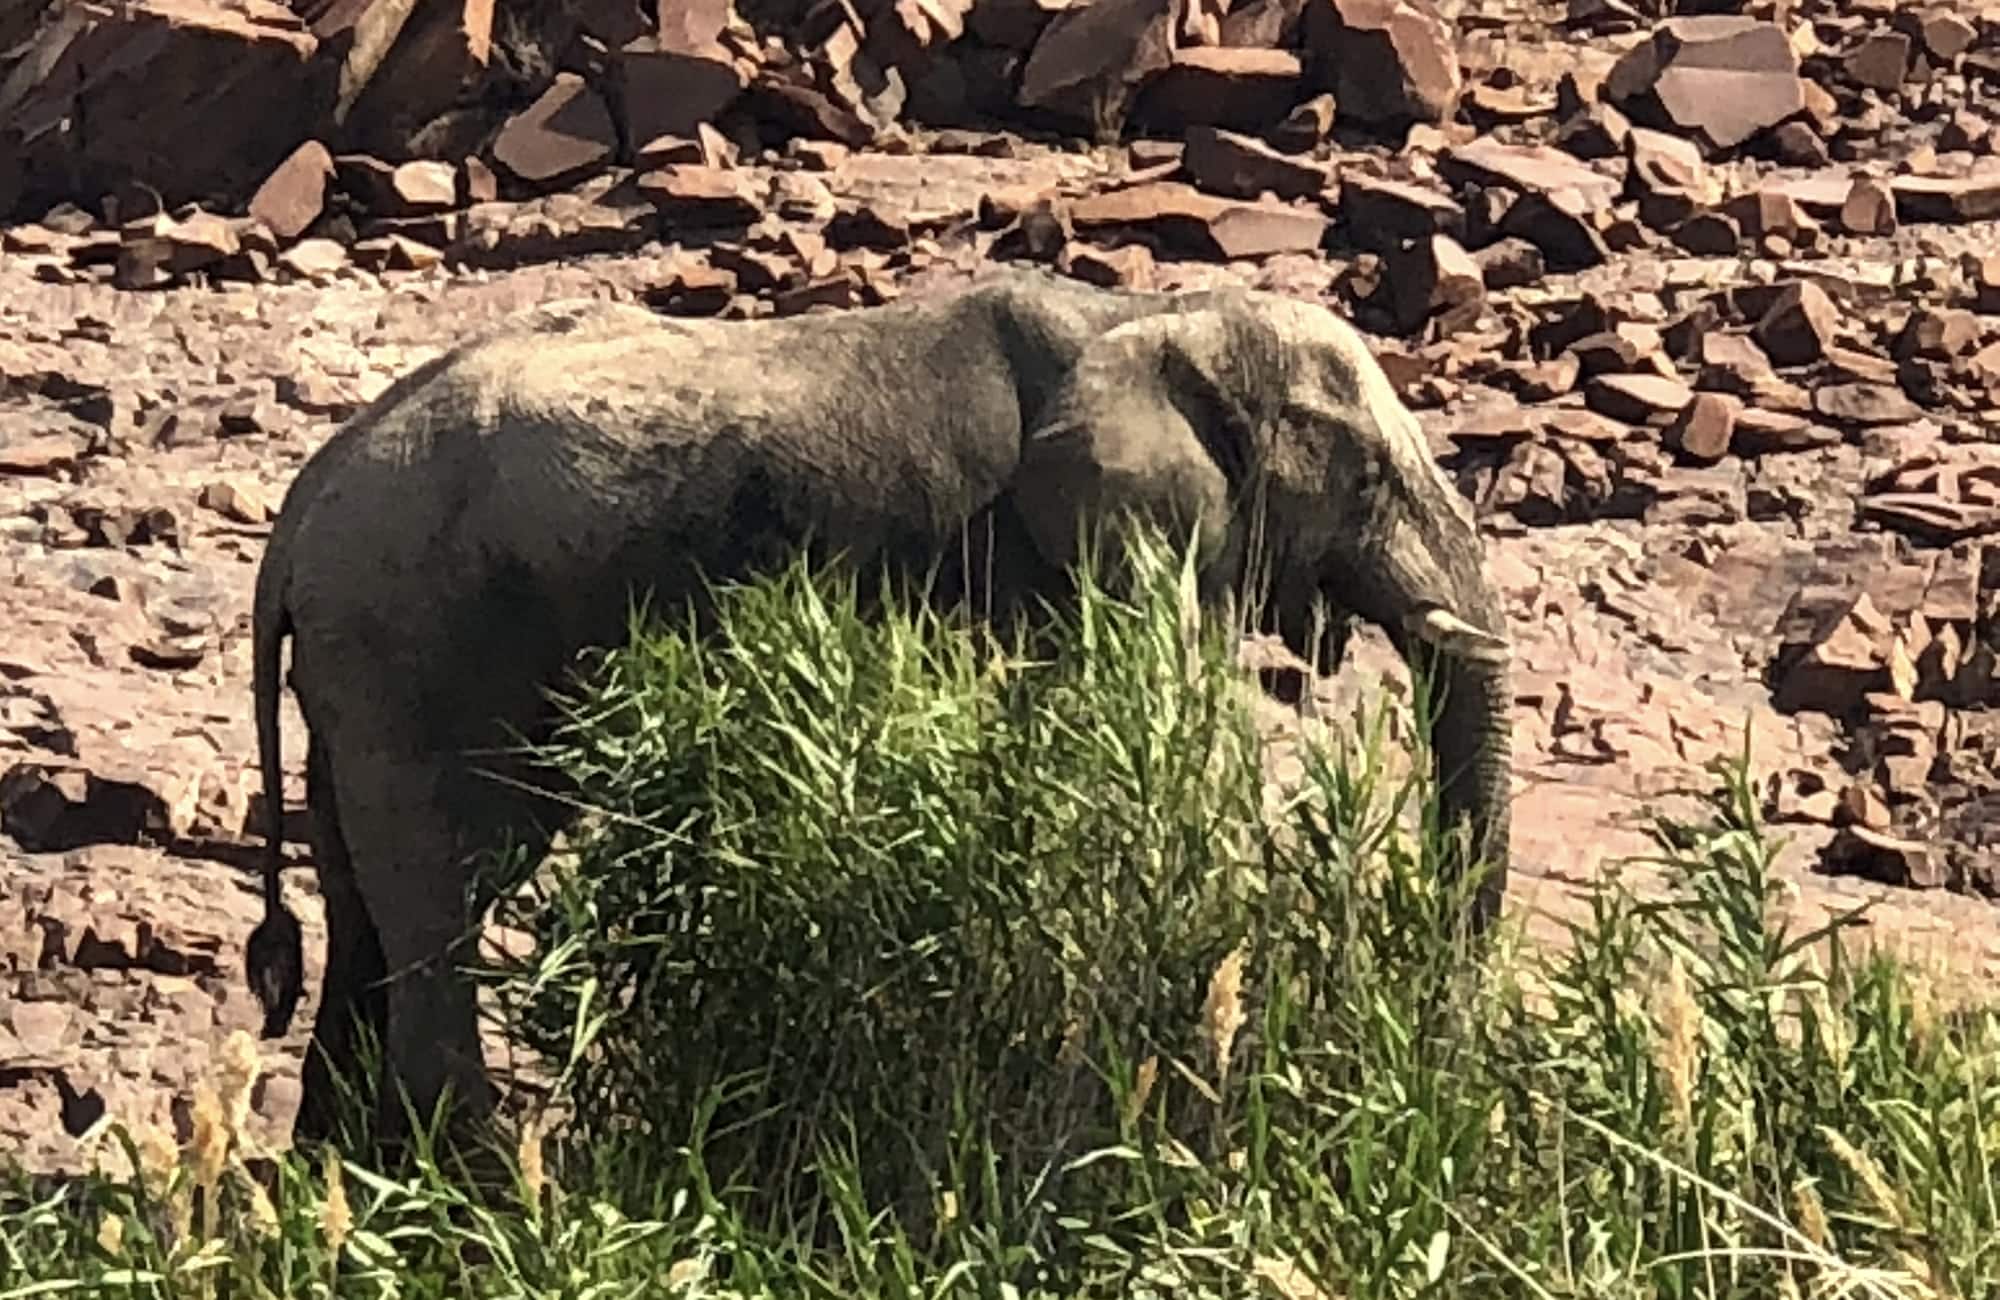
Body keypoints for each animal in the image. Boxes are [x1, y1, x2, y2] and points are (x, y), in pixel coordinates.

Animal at [243, 267, 1513, 1145]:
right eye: (1365, 476)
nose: (1439, 1042)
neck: (1152, 312)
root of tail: (301, 507)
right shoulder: (1067, 558)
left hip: (364, 669)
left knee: (363, 917)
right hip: (423, 643)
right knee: (447, 901)